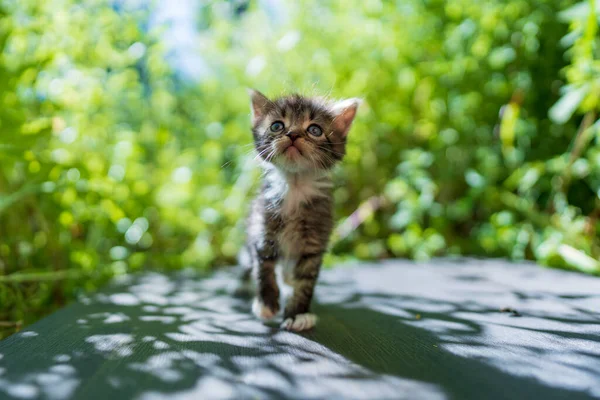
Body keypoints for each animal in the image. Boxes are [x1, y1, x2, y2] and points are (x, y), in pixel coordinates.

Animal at [239, 90, 360, 332]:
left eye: (315, 130)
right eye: (277, 125)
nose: (293, 134)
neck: (294, 186)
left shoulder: (314, 241)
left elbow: (304, 282)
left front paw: (298, 314)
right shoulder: (263, 229)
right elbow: (264, 269)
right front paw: (266, 304)